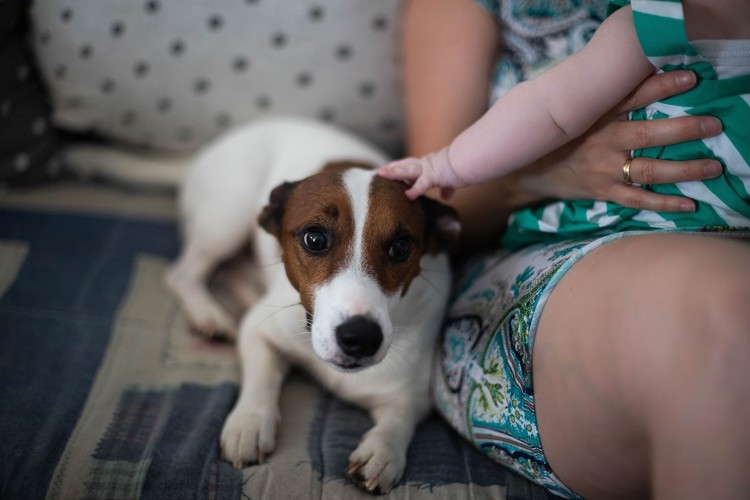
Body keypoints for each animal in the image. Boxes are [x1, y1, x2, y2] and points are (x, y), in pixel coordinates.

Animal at [66, 118, 464, 496]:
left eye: (401, 247)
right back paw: (209, 312)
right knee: (182, 273)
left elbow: (399, 420)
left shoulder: (413, 394)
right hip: (227, 220)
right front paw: (250, 422)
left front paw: (383, 450)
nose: (359, 338)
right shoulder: (260, 328)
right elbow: (263, 373)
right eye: (315, 238)